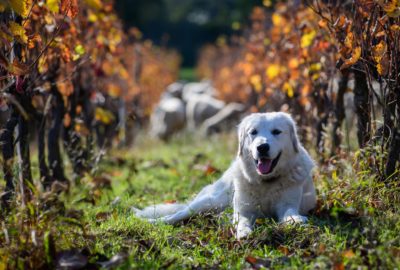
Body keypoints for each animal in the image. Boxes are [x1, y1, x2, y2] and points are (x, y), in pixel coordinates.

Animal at [134, 112, 316, 238]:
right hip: (208, 202)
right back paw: (152, 222)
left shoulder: (287, 204)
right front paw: (243, 232)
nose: (262, 147)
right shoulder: (243, 209)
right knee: (176, 215)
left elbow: (289, 213)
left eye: (277, 132)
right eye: (253, 132)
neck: (266, 182)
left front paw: (296, 220)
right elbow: (242, 220)